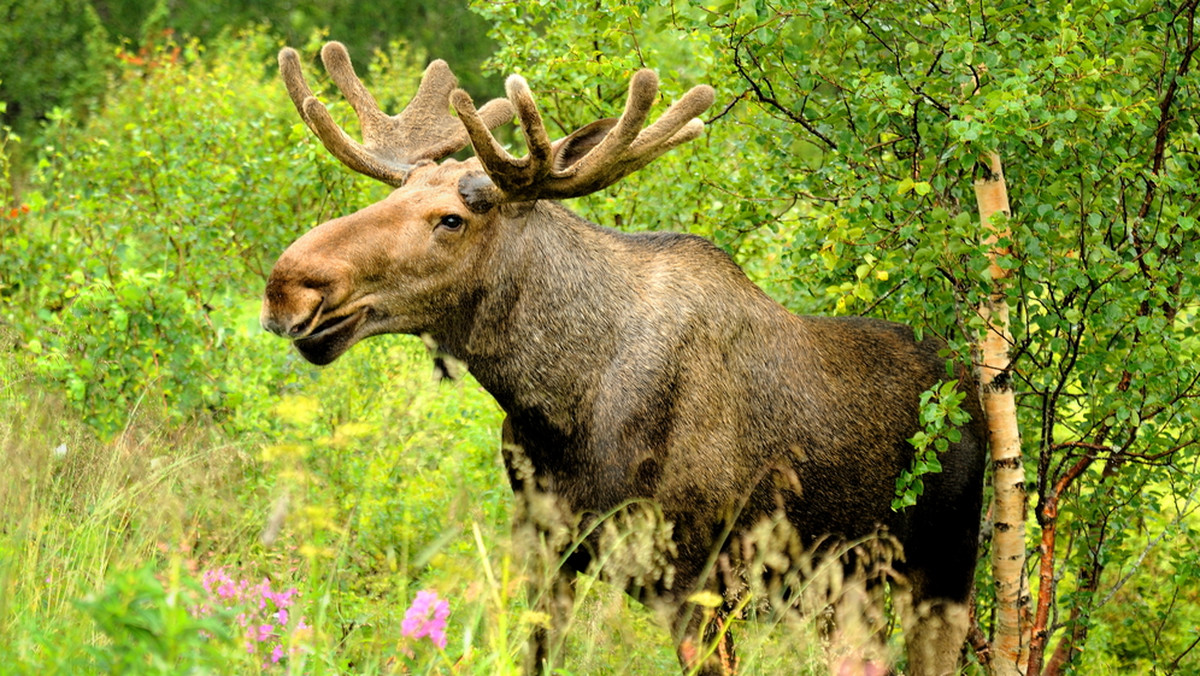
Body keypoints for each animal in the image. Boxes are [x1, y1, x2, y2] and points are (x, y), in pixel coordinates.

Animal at [262, 43, 984, 676]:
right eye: (390, 197)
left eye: (451, 220)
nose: (288, 284)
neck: (556, 407)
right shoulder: (546, 549)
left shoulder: (700, 579)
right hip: (847, 591)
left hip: (942, 572)